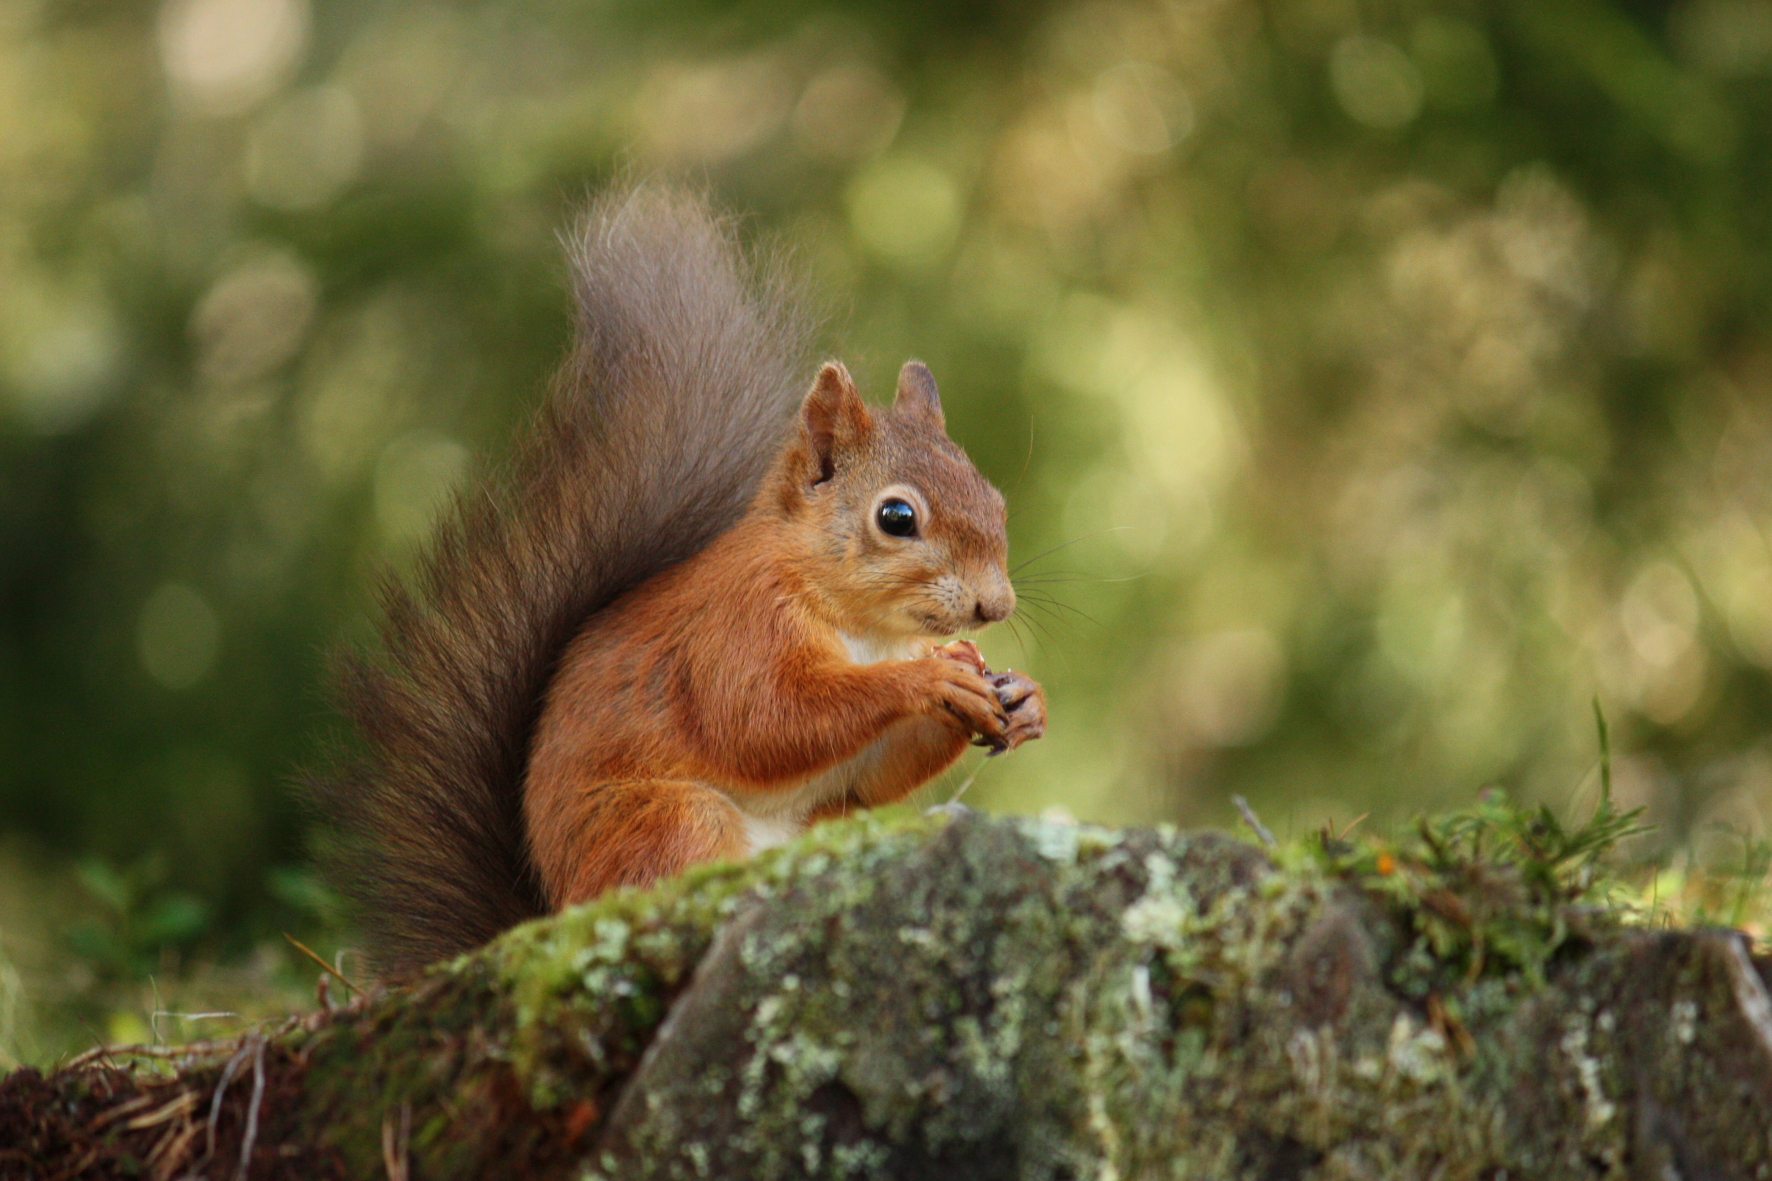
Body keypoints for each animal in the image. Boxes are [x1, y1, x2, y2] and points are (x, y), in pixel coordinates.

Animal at [312, 186, 1045, 976]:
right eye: (897, 516)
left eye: (996, 501)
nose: (995, 604)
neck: (867, 629)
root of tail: (553, 915)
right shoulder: (735, 630)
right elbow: (765, 718)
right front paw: (931, 680)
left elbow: (874, 770)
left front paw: (1021, 699)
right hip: (669, 819)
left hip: (823, 821)